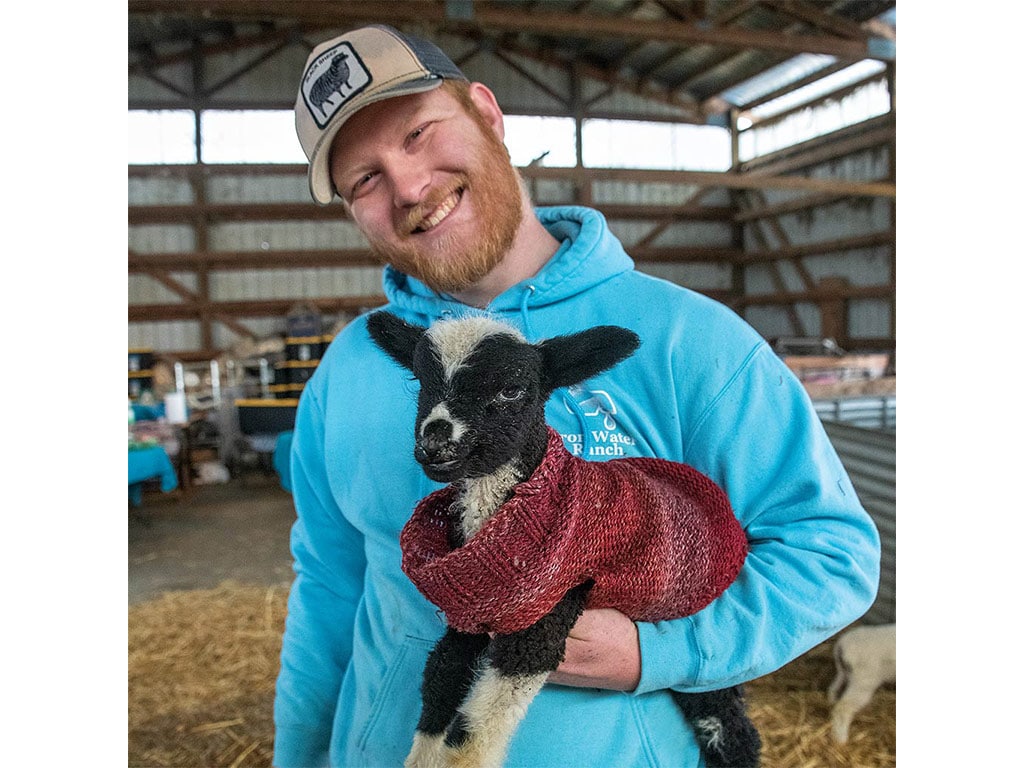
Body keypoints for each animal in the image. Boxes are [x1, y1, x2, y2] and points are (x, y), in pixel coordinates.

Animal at [368, 313, 761, 768]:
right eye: (420, 381)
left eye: (511, 389)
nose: (434, 443)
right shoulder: (470, 616)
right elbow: (440, 681)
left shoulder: (547, 614)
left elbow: (472, 739)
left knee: (728, 729)